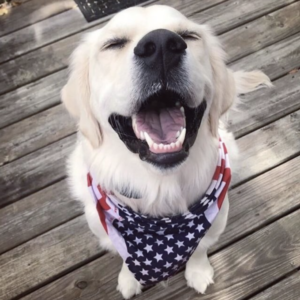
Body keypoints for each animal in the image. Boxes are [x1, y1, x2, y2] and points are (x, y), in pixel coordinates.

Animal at [61, 5, 272, 300]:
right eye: (113, 44)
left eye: (189, 36)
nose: (161, 45)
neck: (160, 187)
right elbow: (123, 255)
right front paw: (128, 278)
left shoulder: (216, 220)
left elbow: (200, 247)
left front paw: (198, 272)